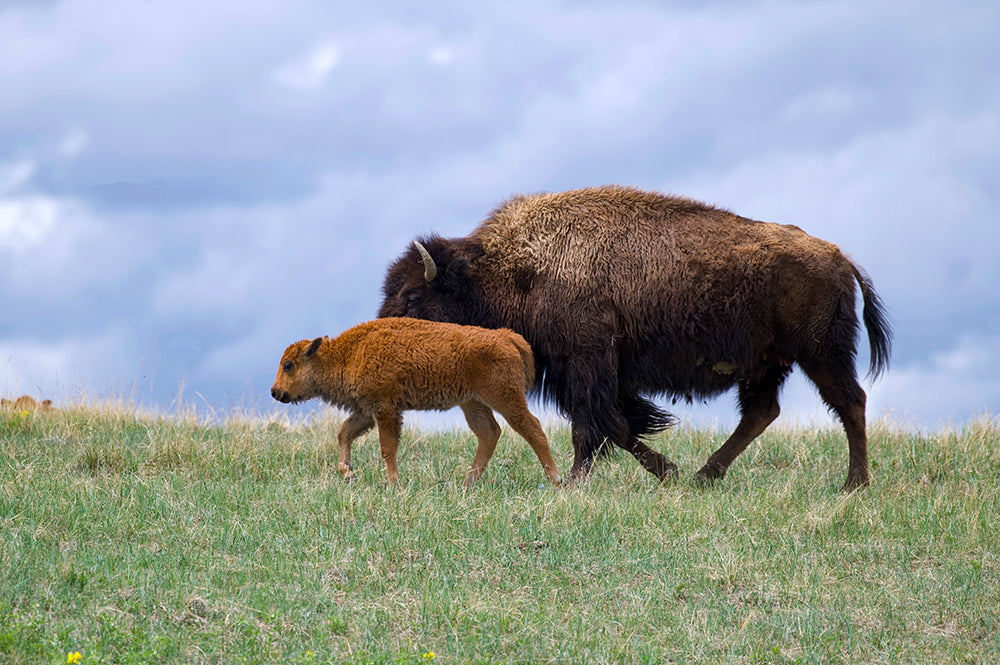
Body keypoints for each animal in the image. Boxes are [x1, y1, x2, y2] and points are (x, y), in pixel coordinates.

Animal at [270, 320, 564, 486]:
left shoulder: (386, 409)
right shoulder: (366, 410)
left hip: (504, 396)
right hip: (472, 403)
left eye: (288, 365)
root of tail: (506, 336)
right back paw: (467, 482)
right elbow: (344, 433)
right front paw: (348, 472)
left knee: (531, 428)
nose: (275, 392)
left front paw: (393, 484)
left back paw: (556, 479)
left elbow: (387, 448)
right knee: (489, 433)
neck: (349, 353)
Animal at [376, 184, 892, 490]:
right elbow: (615, 426)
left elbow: (598, 426)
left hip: (821, 355)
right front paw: (666, 472)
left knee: (849, 402)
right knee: (762, 413)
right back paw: (704, 476)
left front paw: (578, 482)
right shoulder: (591, 375)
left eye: (411, 298)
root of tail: (840, 258)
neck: (514, 268)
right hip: (769, 364)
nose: (384, 337)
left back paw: (854, 484)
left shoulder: (587, 364)